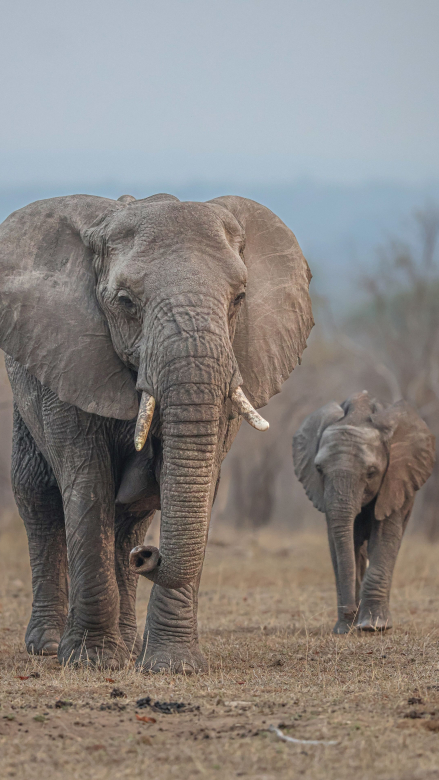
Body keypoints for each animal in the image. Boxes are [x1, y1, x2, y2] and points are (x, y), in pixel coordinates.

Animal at [0, 192, 313, 671]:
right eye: (126, 302)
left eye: (240, 298)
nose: (148, 557)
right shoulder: (69, 361)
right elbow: (88, 482)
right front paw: (93, 661)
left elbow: (197, 480)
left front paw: (173, 665)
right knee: (38, 494)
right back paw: (51, 646)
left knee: (131, 517)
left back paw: (129, 644)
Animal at [293, 391, 435, 634]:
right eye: (319, 469)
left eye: (371, 472)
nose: (350, 611)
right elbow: (341, 542)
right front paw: (344, 628)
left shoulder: (395, 479)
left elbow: (385, 534)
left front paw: (372, 626)